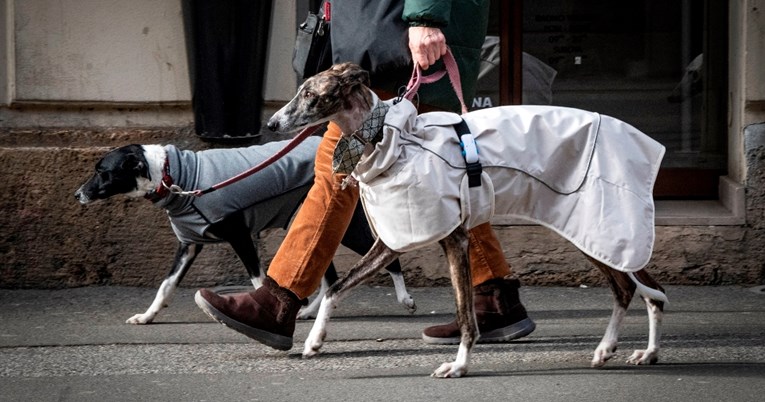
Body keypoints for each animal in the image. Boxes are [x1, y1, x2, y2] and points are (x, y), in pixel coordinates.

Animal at [74, 137, 414, 324]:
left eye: (102, 172)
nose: (77, 194)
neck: (176, 177)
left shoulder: (241, 238)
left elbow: (258, 280)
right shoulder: (188, 245)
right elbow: (165, 286)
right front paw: (147, 316)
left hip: (347, 228)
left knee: (390, 256)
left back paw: (405, 298)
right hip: (311, 224)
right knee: (328, 276)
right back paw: (308, 312)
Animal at [266, 62, 664, 376]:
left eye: (309, 93)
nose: (270, 123)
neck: (387, 137)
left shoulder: (453, 238)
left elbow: (465, 313)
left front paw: (459, 365)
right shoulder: (392, 240)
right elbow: (336, 287)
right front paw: (314, 340)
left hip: (598, 227)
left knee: (631, 288)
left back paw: (616, 348)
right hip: (596, 232)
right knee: (646, 290)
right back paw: (643, 352)